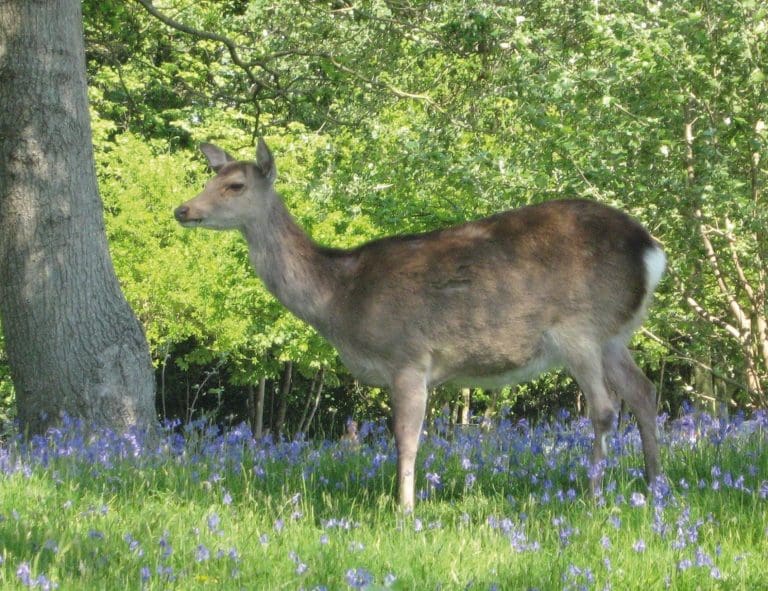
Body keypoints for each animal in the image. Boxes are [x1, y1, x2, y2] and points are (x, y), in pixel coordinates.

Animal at [174, 138, 666, 509]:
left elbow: (405, 437)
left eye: (235, 185)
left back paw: (594, 496)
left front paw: (404, 510)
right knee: (644, 392)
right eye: (209, 178)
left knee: (605, 409)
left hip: (579, 329)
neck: (340, 299)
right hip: (613, 335)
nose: (183, 210)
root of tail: (651, 251)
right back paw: (654, 486)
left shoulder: (408, 356)